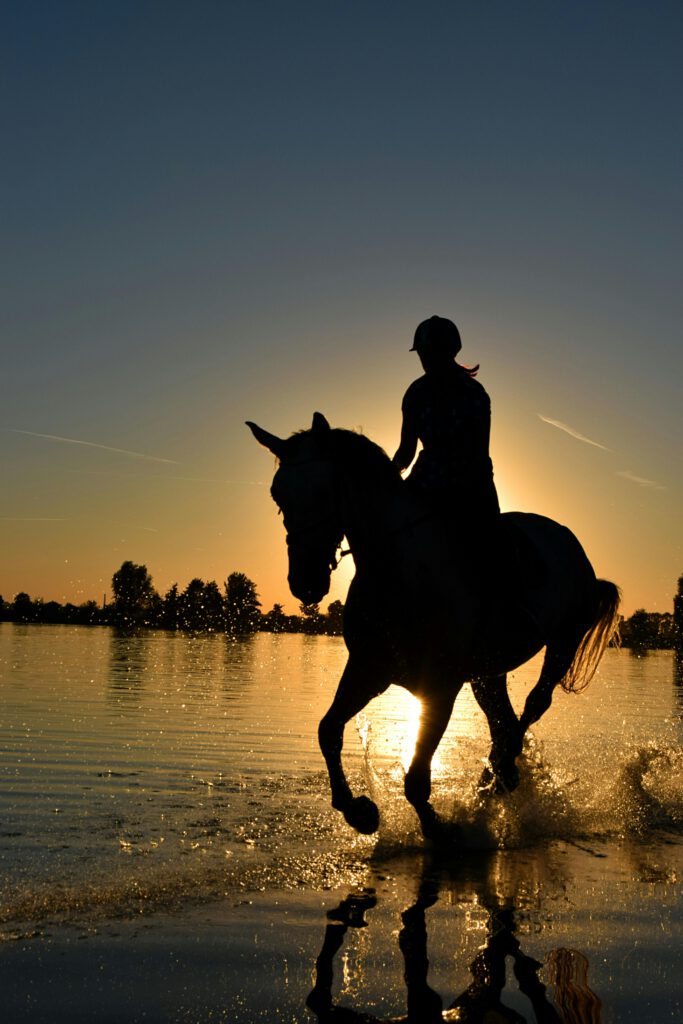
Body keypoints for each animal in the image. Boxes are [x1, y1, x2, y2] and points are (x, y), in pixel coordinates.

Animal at [247, 413, 621, 840]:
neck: (400, 572)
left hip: (562, 643)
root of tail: (567, 540)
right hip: (487, 672)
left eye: (326, 492)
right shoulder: (369, 670)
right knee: (503, 721)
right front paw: (360, 812)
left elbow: (416, 778)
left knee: (532, 707)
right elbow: (328, 730)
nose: (305, 582)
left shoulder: (440, 685)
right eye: (278, 495)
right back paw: (497, 778)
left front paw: (440, 828)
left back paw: (499, 776)